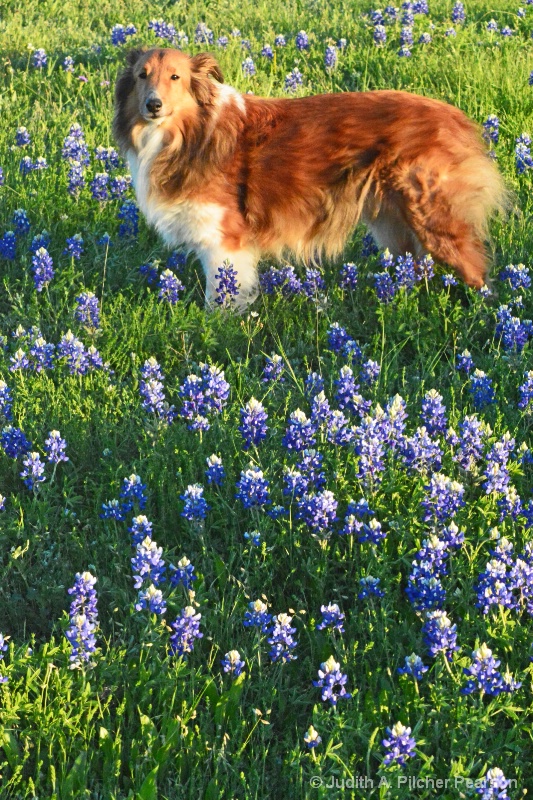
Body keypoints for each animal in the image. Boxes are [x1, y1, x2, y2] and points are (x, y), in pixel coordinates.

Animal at [113, 48, 508, 308]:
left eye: (175, 77)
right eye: (142, 76)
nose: (153, 105)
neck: (188, 135)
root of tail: (456, 117)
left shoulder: (225, 239)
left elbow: (222, 295)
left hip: (433, 215)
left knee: (479, 272)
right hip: (395, 223)